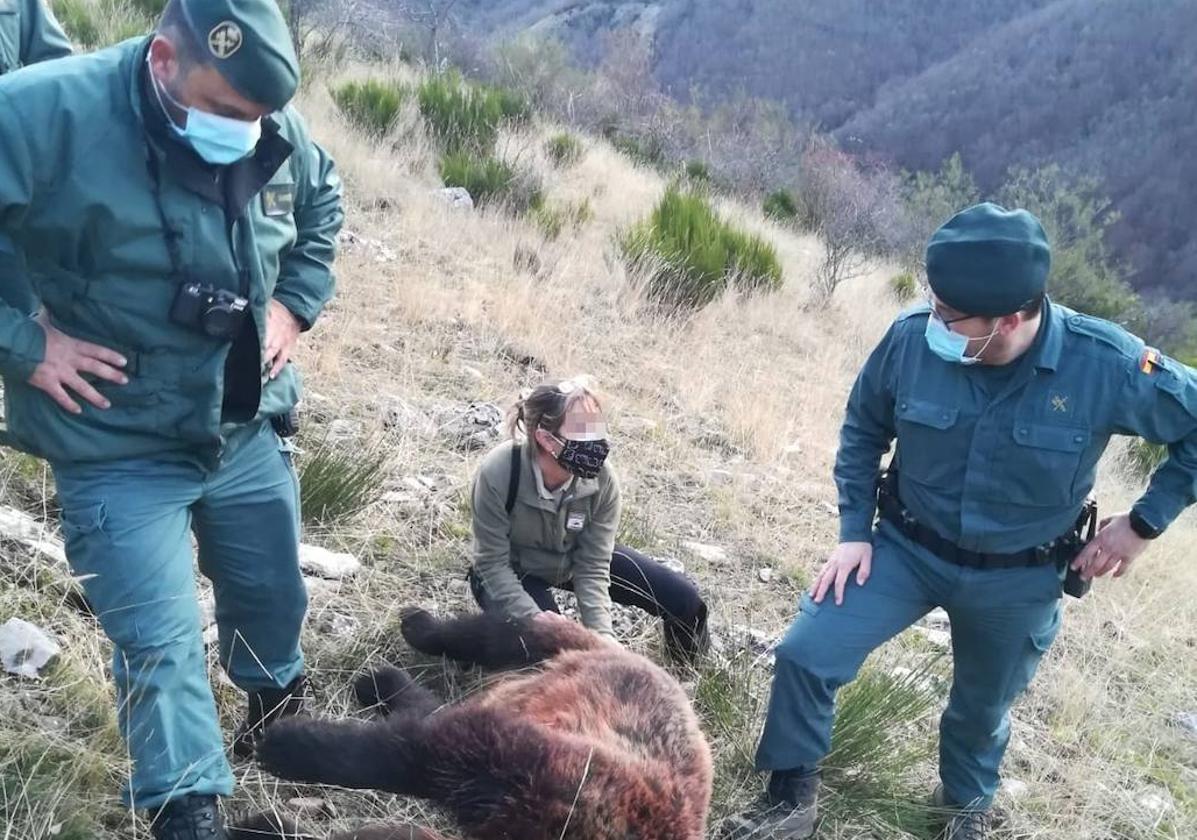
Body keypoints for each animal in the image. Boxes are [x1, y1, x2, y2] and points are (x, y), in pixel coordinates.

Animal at [254, 607, 708, 837]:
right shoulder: (536, 762)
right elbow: (406, 752)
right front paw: (289, 743)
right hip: (552, 647)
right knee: (496, 635)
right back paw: (418, 627)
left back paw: (382, 683)